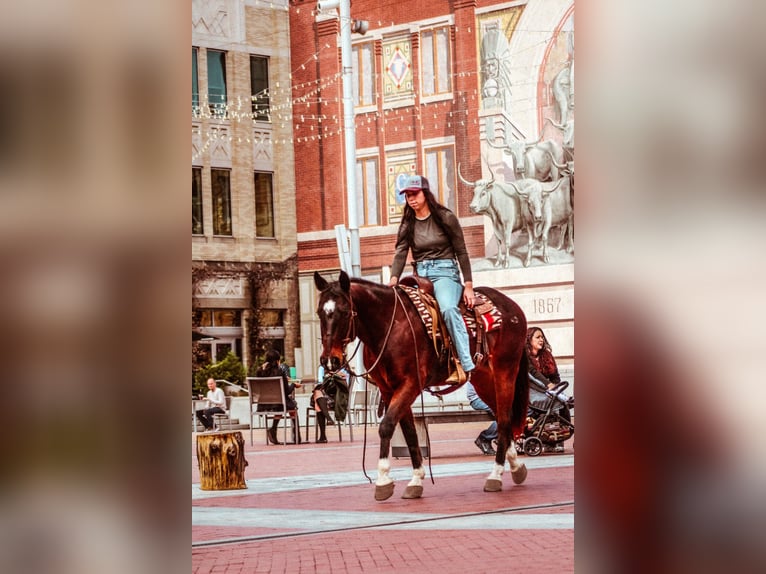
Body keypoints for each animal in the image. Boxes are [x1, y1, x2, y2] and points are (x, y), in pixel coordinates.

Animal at [312, 272, 528, 502]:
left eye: (344, 312)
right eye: (319, 312)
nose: (329, 360)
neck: (390, 327)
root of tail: (511, 306)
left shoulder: (410, 384)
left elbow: (386, 426)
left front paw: (383, 480)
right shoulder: (389, 390)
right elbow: (409, 433)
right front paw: (416, 480)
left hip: (505, 372)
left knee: (504, 419)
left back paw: (496, 475)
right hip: (483, 380)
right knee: (502, 418)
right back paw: (516, 466)